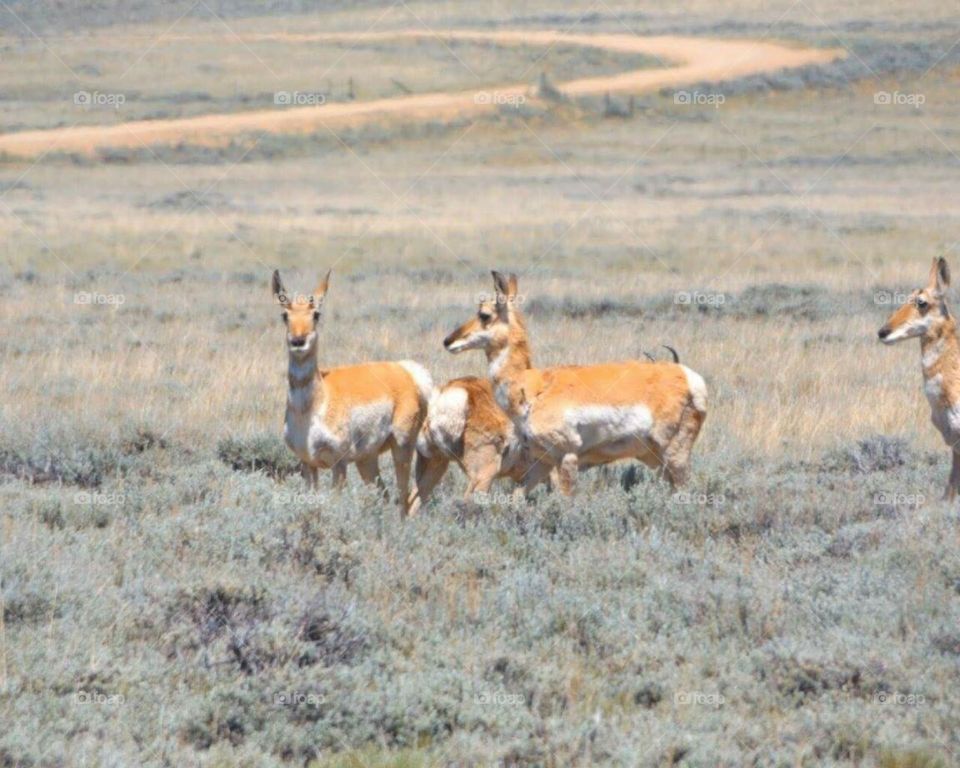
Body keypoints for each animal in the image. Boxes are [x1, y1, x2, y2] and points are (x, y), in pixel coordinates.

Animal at [272, 270, 433, 516]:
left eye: (316, 314)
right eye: (285, 315)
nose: (299, 341)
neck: (314, 405)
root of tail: (406, 370)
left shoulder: (338, 464)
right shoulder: (307, 464)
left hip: (402, 446)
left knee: (404, 495)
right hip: (367, 460)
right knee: (386, 493)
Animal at [442, 272, 708, 495]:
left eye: (484, 314)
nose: (447, 341)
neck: (533, 385)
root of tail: (687, 376)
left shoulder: (566, 457)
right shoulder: (542, 462)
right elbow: (517, 496)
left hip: (673, 454)